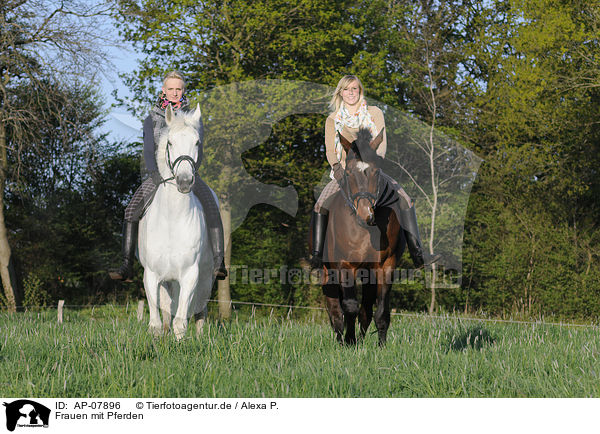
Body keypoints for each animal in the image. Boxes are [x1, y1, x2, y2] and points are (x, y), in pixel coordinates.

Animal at [138, 104, 216, 340]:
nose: (184, 182)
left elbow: (181, 322)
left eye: (197, 142)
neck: (172, 219)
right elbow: (155, 322)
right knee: (166, 309)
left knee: (200, 310)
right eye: (170, 142)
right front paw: (158, 340)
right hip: (167, 281)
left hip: (205, 277)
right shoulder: (152, 275)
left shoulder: (190, 275)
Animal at [312, 126, 406, 346]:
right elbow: (349, 307)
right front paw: (349, 342)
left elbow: (380, 311)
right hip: (328, 271)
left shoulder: (385, 265)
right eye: (348, 172)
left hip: (368, 273)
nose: (366, 215)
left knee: (366, 309)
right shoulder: (345, 265)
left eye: (376, 171)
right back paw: (341, 339)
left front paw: (381, 346)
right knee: (335, 309)